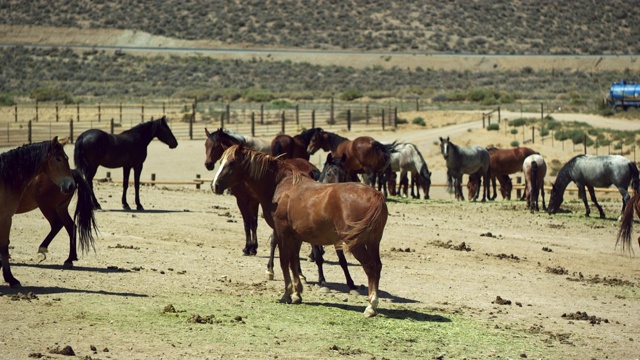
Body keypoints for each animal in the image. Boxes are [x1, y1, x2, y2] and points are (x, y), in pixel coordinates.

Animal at [0, 138, 76, 286]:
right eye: (58, 159)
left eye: (67, 158)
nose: (71, 185)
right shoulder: (5, 218)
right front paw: (9, 277)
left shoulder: (5, 218)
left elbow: (4, 246)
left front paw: (9, 278)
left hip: (51, 207)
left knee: (63, 225)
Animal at [212, 145, 388, 316]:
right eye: (221, 161)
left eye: (232, 163)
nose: (215, 185)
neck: (280, 186)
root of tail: (375, 195)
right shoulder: (295, 237)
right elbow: (294, 263)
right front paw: (297, 293)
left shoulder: (282, 233)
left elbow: (284, 262)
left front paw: (287, 294)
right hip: (374, 242)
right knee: (377, 266)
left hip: (356, 243)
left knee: (370, 267)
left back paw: (371, 306)